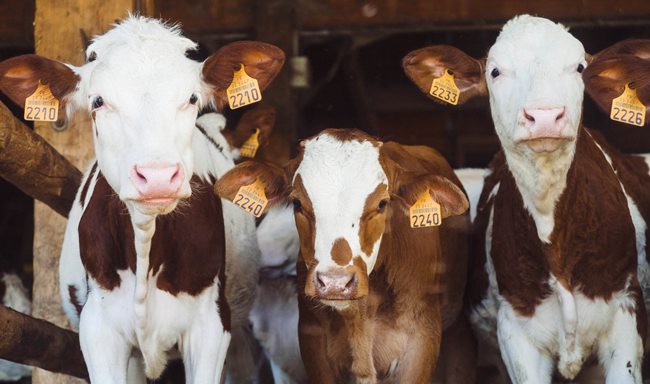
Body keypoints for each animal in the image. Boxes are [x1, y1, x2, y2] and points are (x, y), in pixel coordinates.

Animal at [215, 127, 474, 382]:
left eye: (382, 204)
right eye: (297, 202)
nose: (335, 283)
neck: (360, 317)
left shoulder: (422, 340)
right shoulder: (312, 341)